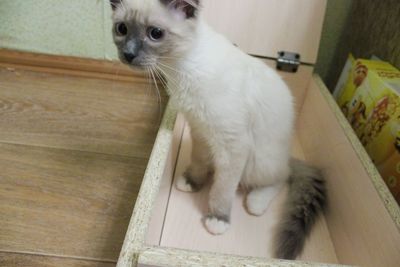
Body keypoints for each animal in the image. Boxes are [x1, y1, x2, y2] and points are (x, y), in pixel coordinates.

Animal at [108, 0, 324, 260]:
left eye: (155, 33)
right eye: (122, 29)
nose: (128, 54)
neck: (180, 69)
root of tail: (286, 154)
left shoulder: (233, 144)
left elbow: (222, 190)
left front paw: (218, 219)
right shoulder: (199, 130)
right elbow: (198, 161)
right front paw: (191, 183)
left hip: (258, 162)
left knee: (282, 177)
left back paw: (255, 204)